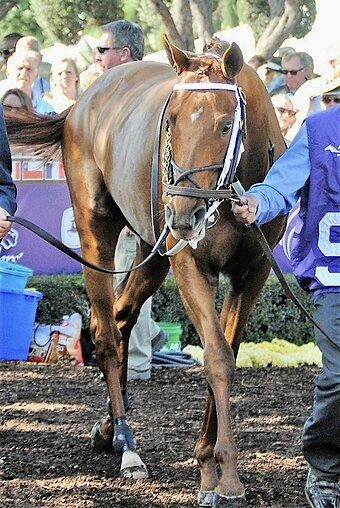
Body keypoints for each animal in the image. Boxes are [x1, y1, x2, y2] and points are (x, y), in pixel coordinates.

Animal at [5, 36, 286, 508]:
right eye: (170, 121)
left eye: (225, 125)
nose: (185, 214)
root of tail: (83, 101)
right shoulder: (192, 264)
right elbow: (216, 357)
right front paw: (219, 473)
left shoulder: (252, 273)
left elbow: (227, 352)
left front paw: (211, 461)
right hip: (97, 234)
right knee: (105, 333)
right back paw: (126, 443)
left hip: (151, 251)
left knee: (121, 317)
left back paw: (108, 429)